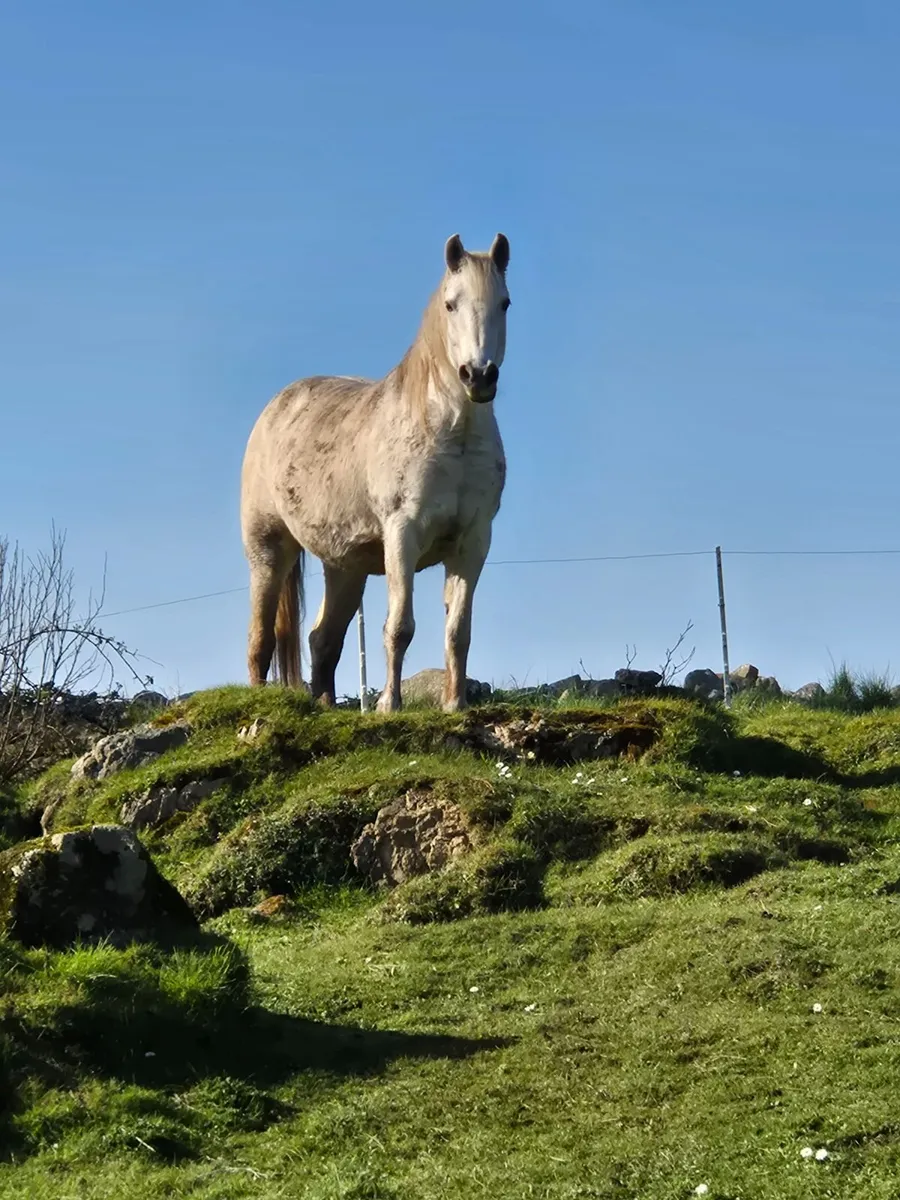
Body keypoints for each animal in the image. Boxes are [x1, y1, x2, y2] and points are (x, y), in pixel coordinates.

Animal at [240, 231, 511, 712]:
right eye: (451, 304)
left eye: (505, 303)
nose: (478, 376)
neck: (450, 435)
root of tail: (276, 406)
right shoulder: (403, 535)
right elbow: (399, 627)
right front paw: (389, 705)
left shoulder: (474, 542)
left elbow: (458, 632)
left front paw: (454, 704)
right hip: (268, 551)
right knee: (260, 640)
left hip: (345, 568)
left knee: (322, 640)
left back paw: (325, 706)